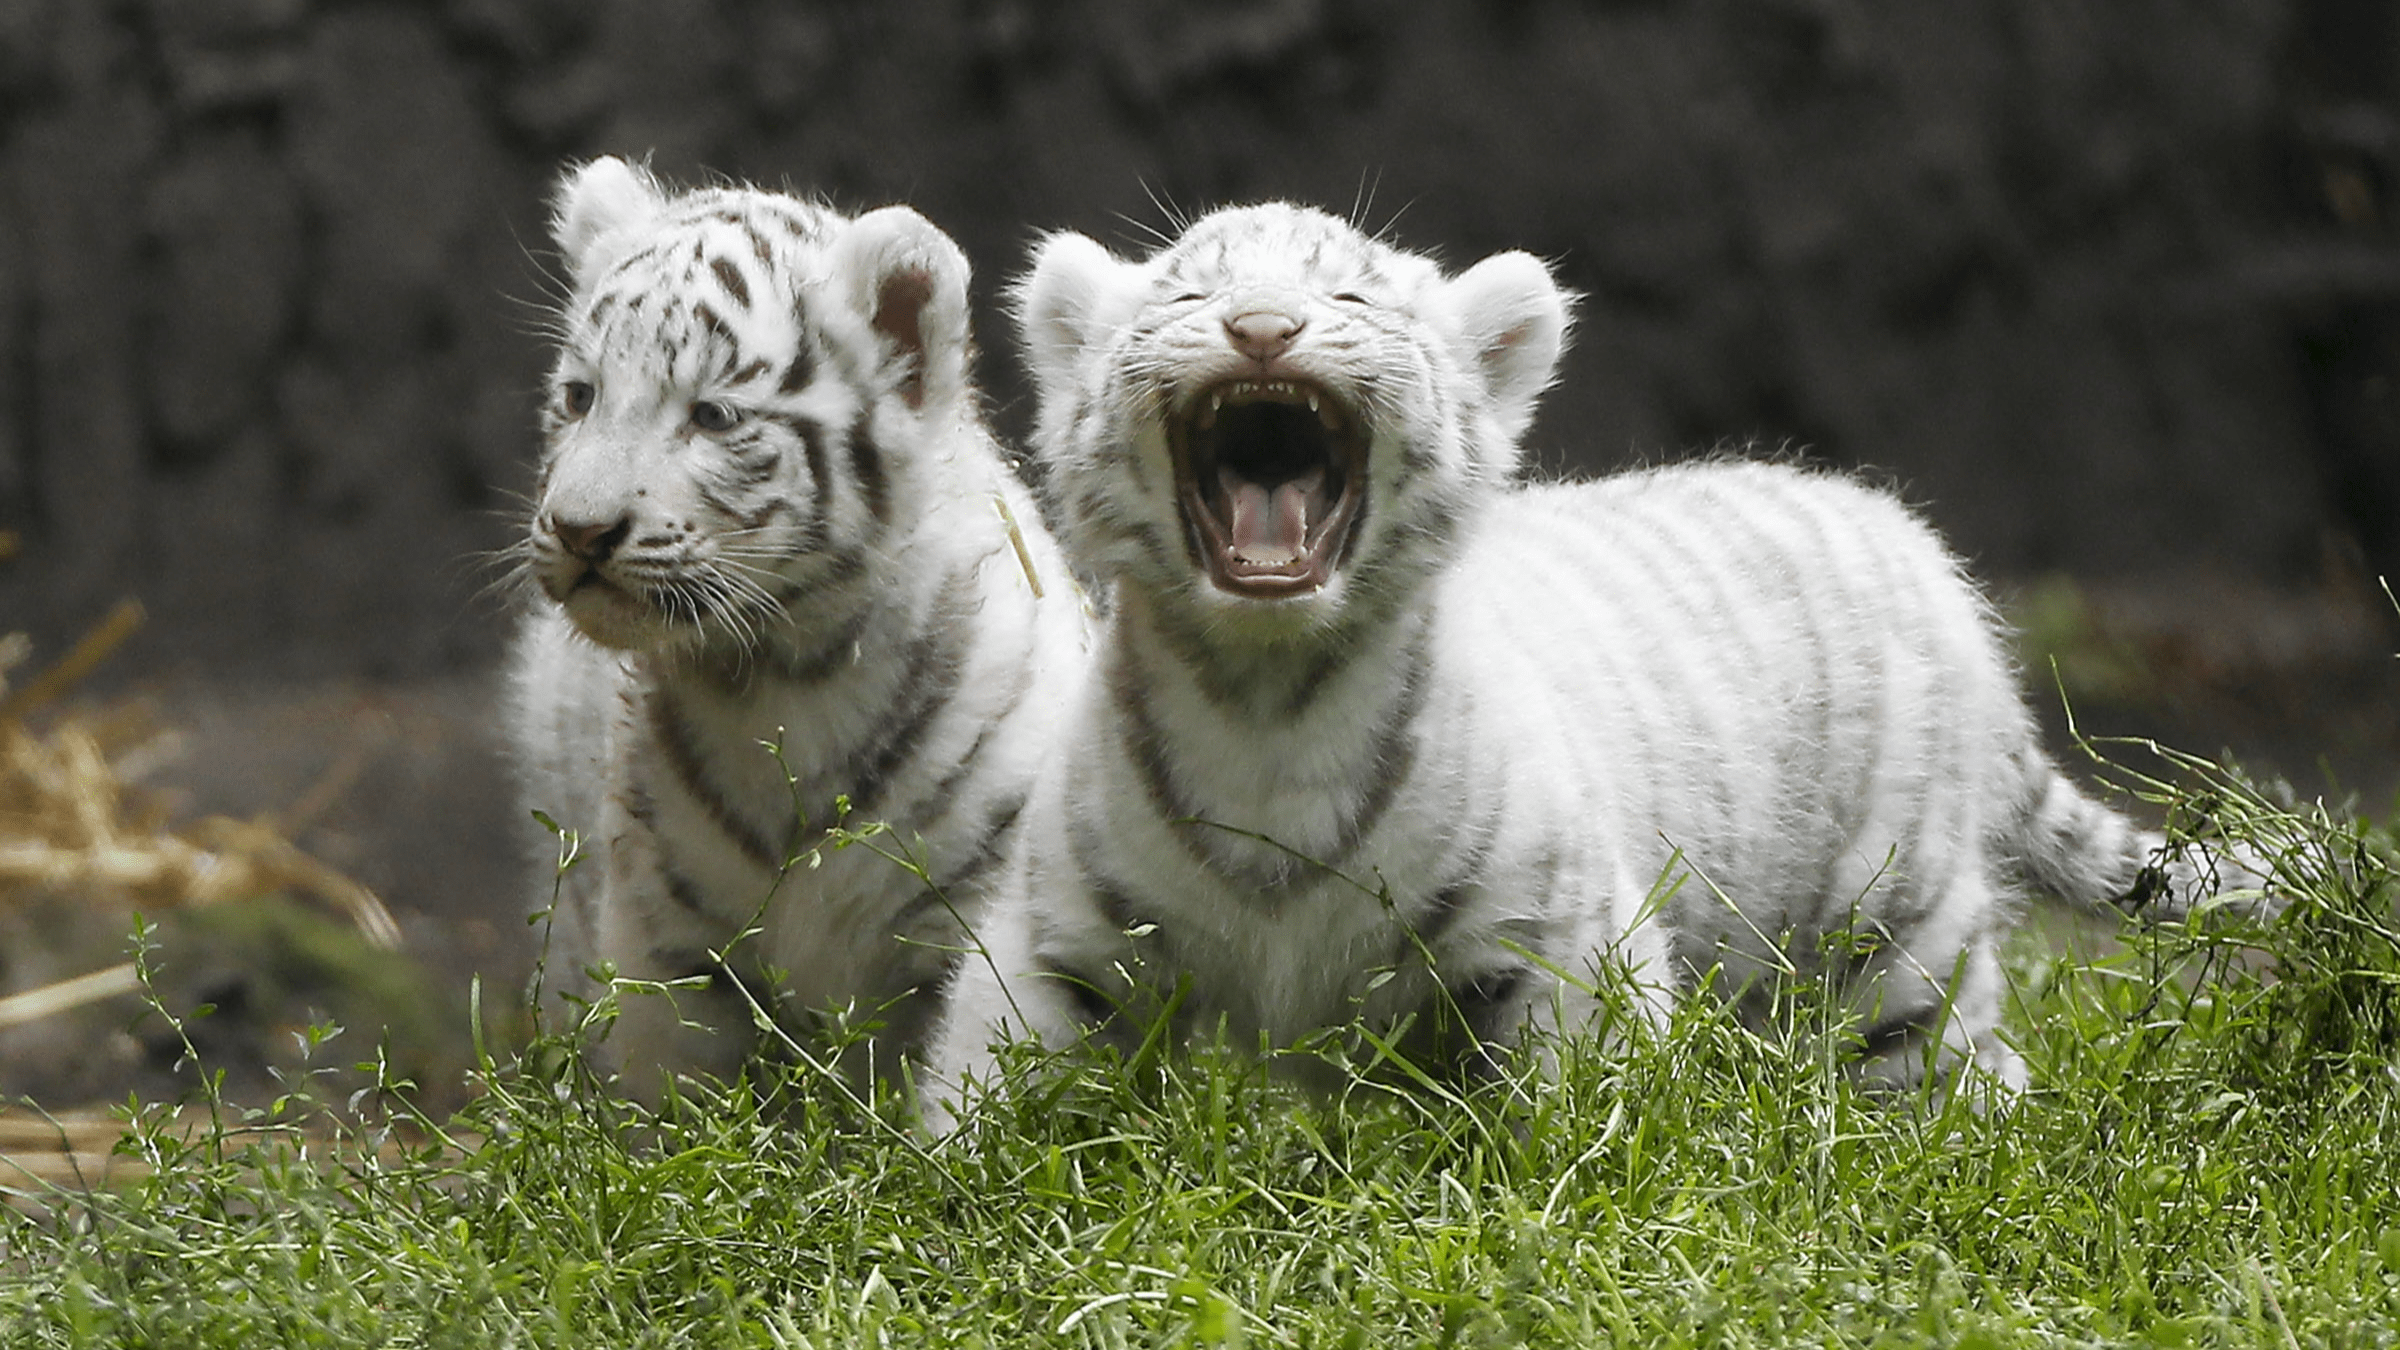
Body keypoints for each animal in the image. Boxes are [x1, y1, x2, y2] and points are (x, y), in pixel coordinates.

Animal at [505, 157, 1086, 1103]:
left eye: (712, 416)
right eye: (580, 397)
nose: (580, 530)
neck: (786, 675)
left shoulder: (979, 904)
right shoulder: (671, 947)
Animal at [921, 201, 2264, 1126]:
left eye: (1349, 297)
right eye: (1189, 296)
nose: (1262, 327)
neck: (1268, 701)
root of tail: (1917, 548)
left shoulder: (1554, 933)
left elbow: (1569, 1114)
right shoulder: (1063, 935)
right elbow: (992, 1082)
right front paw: (961, 1215)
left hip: (1892, 925)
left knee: (1954, 1063)